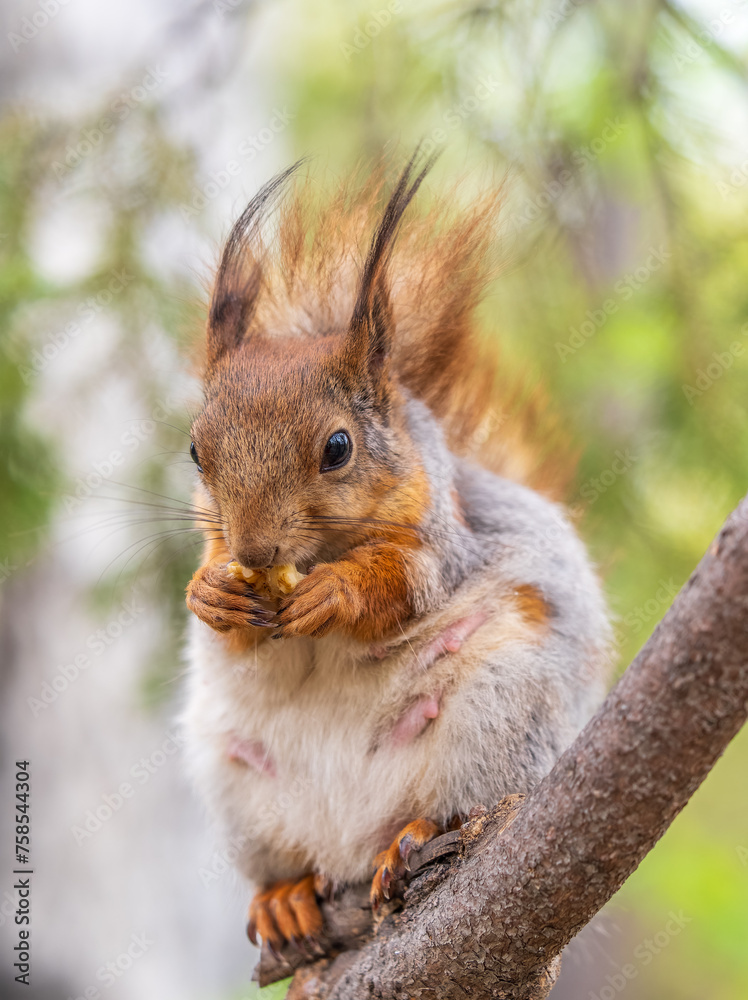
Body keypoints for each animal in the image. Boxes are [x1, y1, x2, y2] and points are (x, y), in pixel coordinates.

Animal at [181, 153, 611, 955]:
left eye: (338, 448)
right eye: (195, 450)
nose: (254, 546)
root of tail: (346, 842)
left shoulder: (441, 535)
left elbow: (408, 583)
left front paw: (336, 593)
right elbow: (223, 618)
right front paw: (210, 593)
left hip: (496, 715)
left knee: (452, 807)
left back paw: (409, 835)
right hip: (237, 783)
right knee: (290, 863)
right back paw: (286, 897)